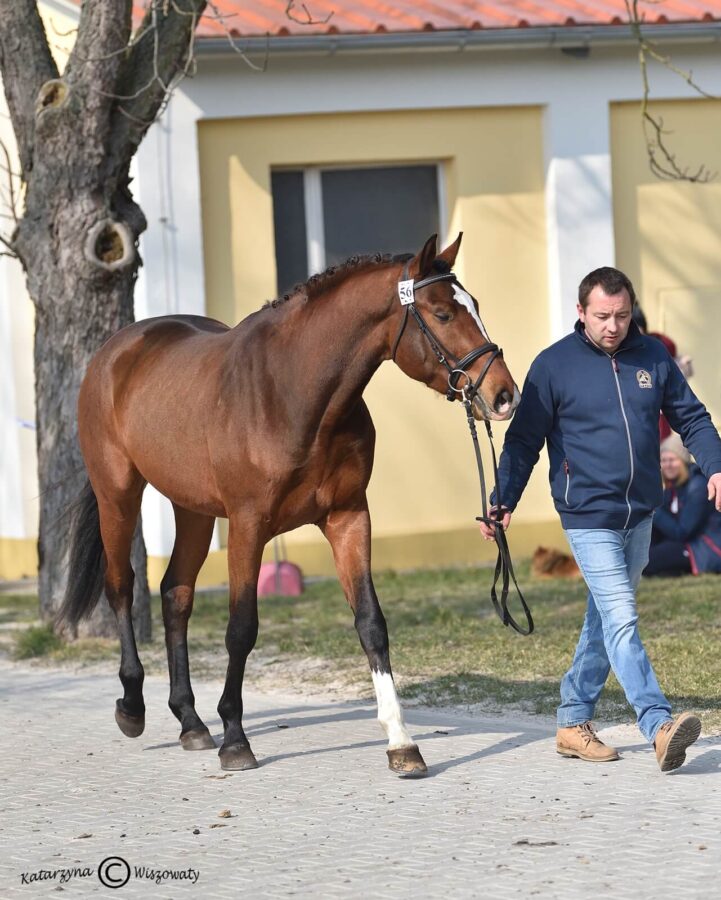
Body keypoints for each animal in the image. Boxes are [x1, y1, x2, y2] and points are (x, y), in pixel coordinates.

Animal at [57, 236, 516, 776]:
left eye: (476, 306)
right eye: (443, 313)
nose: (503, 395)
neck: (293, 394)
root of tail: (116, 349)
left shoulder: (348, 517)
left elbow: (371, 623)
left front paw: (402, 743)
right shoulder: (248, 525)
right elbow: (241, 628)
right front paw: (236, 740)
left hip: (193, 509)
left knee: (176, 594)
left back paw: (191, 722)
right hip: (118, 494)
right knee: (122, 587)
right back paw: (132, 707)